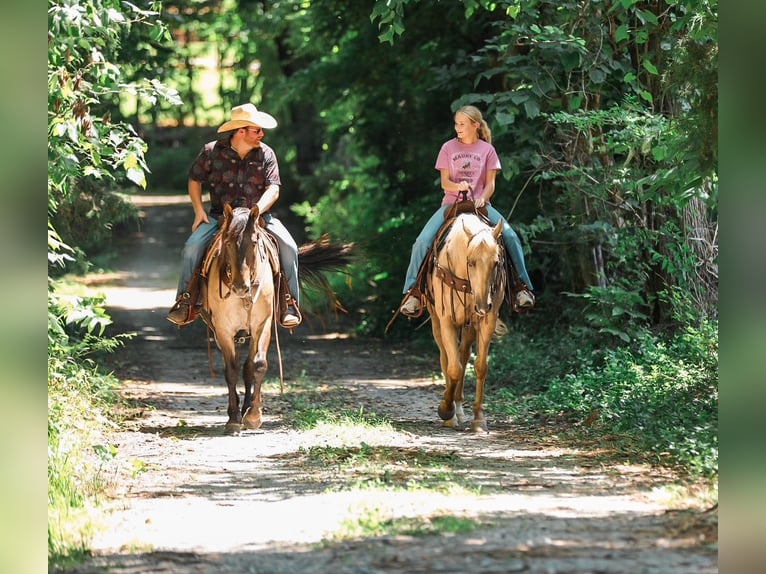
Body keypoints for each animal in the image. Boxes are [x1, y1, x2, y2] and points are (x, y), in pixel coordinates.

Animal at [198, 203, 352, 433]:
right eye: (227, 242)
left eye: (254, 242)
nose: (240, 287)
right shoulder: (224, 330)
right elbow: (231, 370)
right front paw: (234, 418)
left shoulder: (262, 325)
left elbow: (258, 365)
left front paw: (254, 415)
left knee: (249, 367)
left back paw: (248, 408)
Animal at [425, 212, 507, 433]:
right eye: (471, 262)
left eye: (496, 262)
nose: (482, 304)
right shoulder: (447, 322)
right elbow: (453, 368)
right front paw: (445, 410)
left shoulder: (487, 321)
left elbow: (480, 366)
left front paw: (478, 419)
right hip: (437, 323)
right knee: (446, 359)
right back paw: (453, 413)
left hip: (470, 328)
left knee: (463, 354)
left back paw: (460, 409)